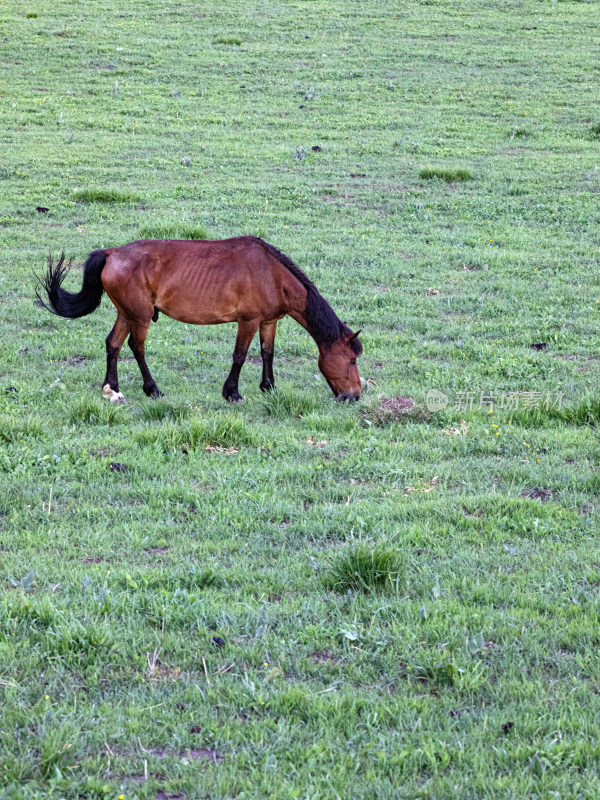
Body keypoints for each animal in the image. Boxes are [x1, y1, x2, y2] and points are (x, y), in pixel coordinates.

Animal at [38, 234, 366, 404]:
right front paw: (232, 392)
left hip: (126, 313)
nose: (354, 396)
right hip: (140, 316)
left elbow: (267, 352)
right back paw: (152, 389)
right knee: (136, 348)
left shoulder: (268, 321)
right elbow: (240, 356)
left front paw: (268, 387)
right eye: (351, 360)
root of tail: (112, 252)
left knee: (113, 344)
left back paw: (112, 388)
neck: (271, 273)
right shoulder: (247, 321)